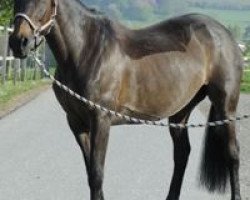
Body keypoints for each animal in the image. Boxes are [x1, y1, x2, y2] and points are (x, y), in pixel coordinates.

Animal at [8, 0, 243, 199]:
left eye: (43, 0)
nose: (19, 42)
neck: (86, 49)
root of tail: (224, 33)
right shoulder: (76, 123)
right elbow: (90, 173)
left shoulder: (100, 120)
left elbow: (97, 174)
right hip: (180, 112)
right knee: (182, 154)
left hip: (226, 107)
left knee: (232, 154)